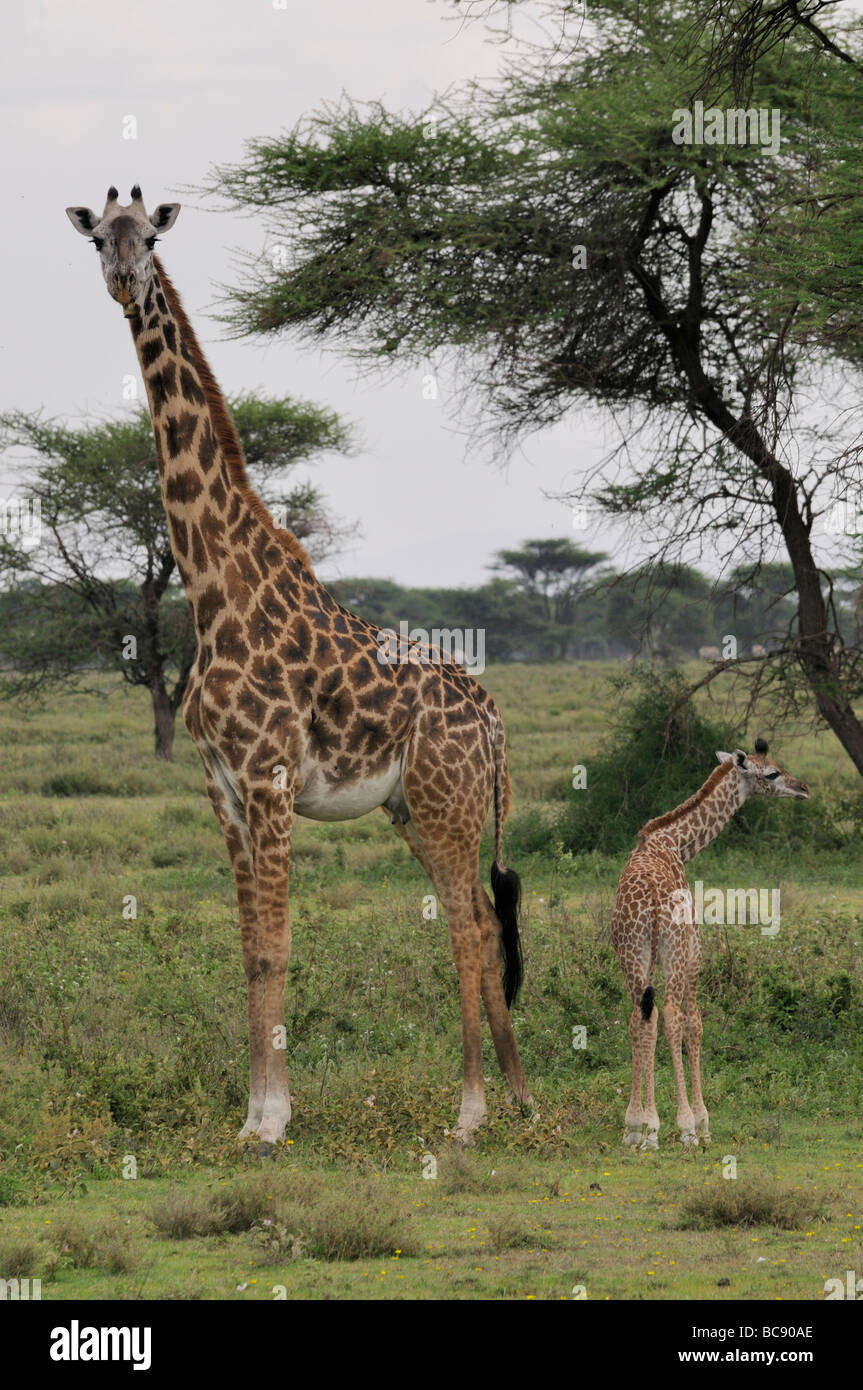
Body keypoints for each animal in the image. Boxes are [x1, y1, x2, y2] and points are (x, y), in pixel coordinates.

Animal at [69, 190, 530, 1145]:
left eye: (151, 236)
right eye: (98, 240)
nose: (126, 282)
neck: (212, 587)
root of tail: (493, 715)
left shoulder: (270, 775)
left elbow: (278, 943)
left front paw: (275, 1118)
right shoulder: (221, 784)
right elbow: (249, 948)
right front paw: (252, 1114)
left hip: (446, 805)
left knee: (468, 926)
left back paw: (468, 1112)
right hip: (416, 808)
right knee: (473, 915)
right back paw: (515, 1096)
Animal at [611, 739, 806, 1150]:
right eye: (772, 773)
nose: (803, 788)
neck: (674, 842)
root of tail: (649, 902)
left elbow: (646, 1022)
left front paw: (639, 1124)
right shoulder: (694, 951)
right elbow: (695, 1023)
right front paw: (699, 1122)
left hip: (631, 951)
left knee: (641, 1016)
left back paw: (637, 1125)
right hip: (675, 950)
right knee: (671, 1014)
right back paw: (676, 1125)